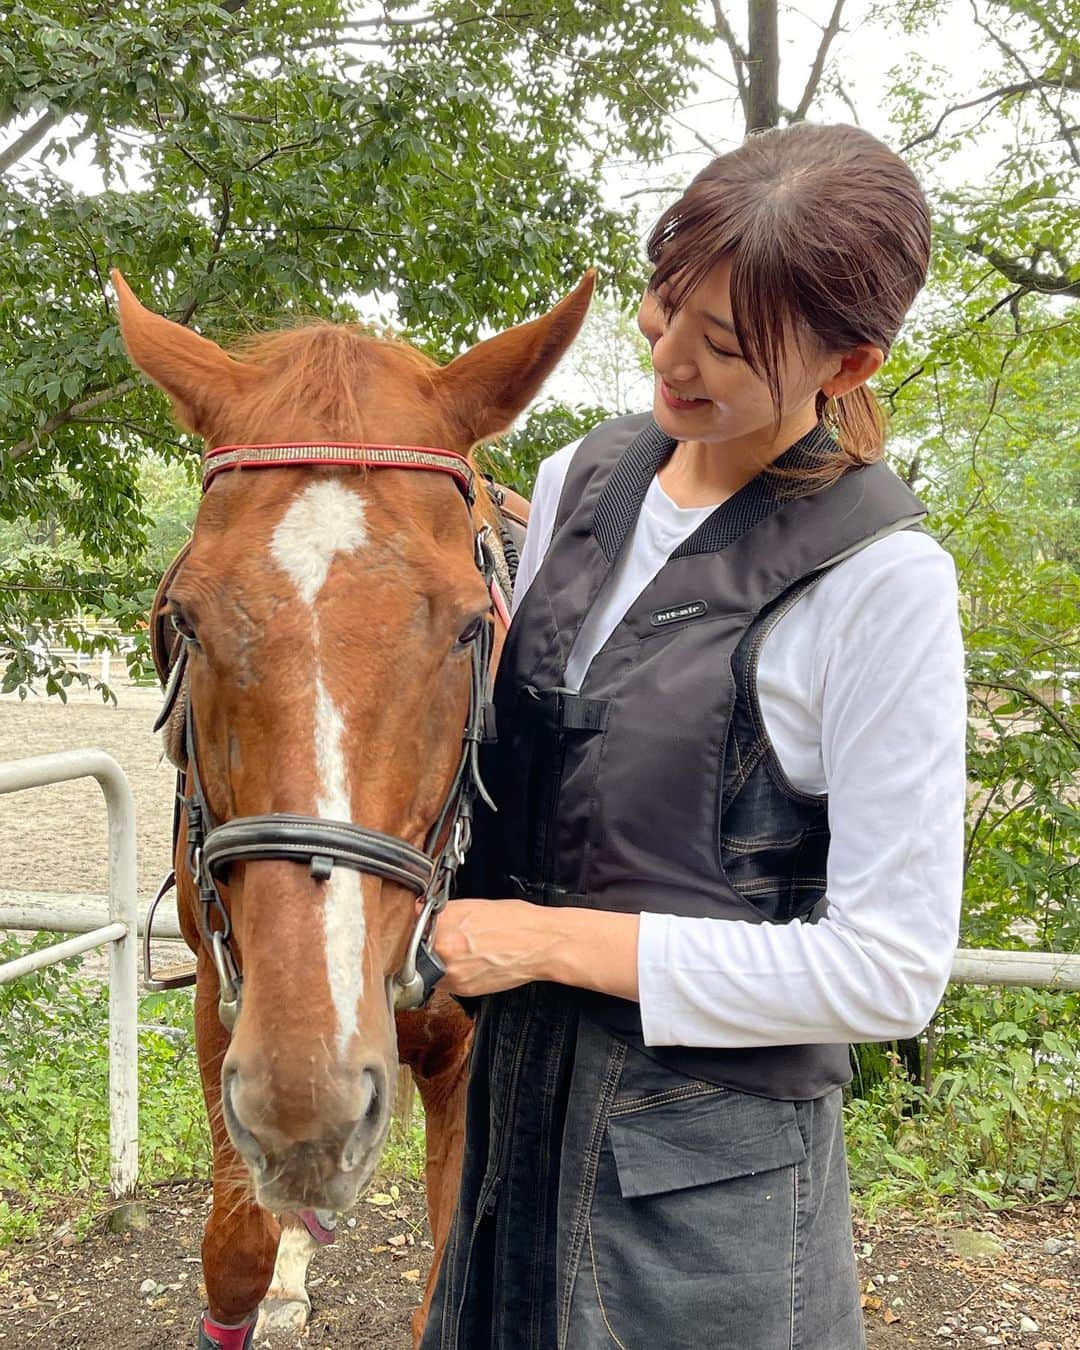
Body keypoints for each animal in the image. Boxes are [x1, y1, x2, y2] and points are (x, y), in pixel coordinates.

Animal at [112, 265, 591, 1350]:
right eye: (182, 620)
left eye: (471, 625)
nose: (308, 1095)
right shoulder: (223, 1010)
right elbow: (233, 1256)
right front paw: (271, 1265)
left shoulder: (461, 1061)